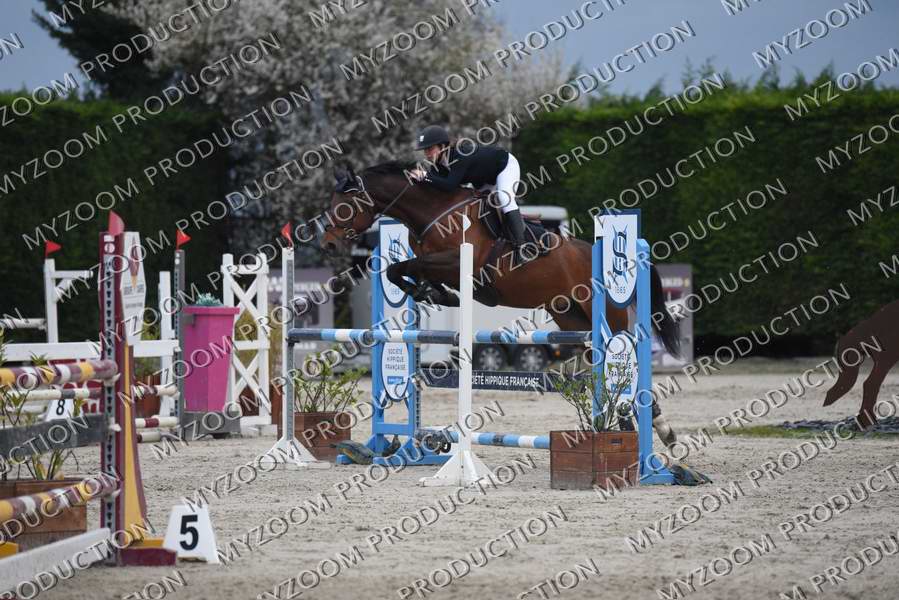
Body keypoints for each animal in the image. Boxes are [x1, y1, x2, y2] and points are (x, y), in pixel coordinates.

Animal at [320, 161, 681, 445]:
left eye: (345, 204)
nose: (328, 244)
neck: (431, 212)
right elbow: (401, 269)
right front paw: (432, 293)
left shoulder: (458, 261)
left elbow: (408, 266)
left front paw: (432, 292)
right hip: (569, 316)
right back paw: (640, 424)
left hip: (605, 312)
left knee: (626, 354)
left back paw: (655, 427)